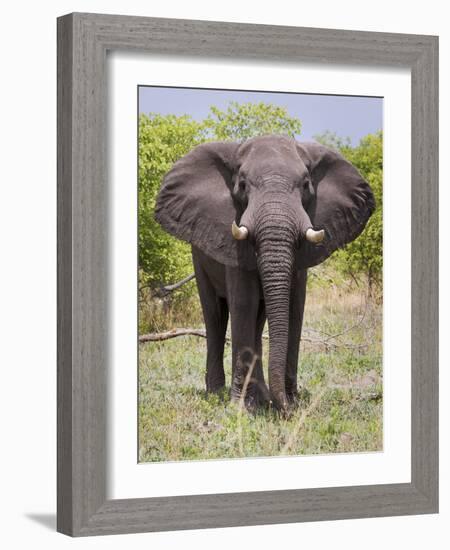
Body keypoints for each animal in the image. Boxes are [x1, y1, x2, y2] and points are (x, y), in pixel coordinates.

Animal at [153, 136, 374, 416]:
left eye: (305, 185)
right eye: (242, 185)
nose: (286, 410)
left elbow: (294, 307)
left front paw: (288, 403)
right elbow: (243, 303)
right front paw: (240, 409)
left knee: (258, 322)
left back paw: (262, 397)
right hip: (199, 257)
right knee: (214, 315)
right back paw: (217, 394)